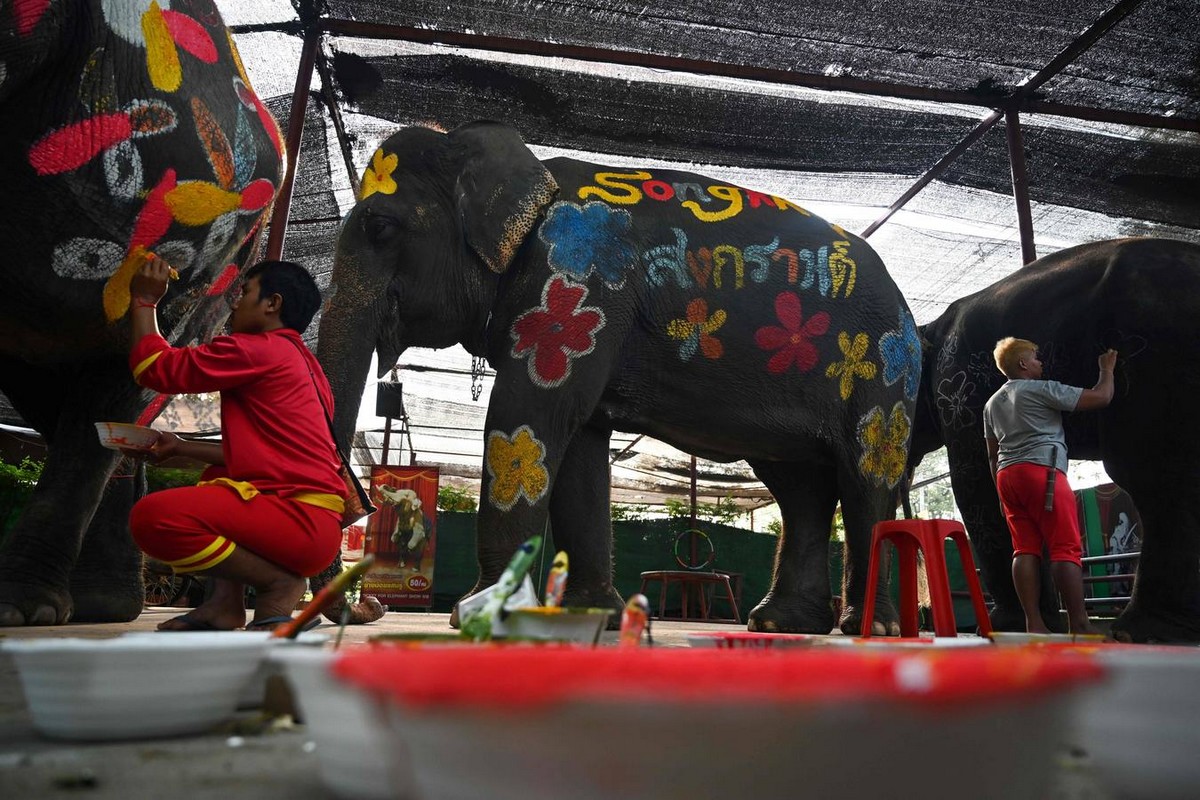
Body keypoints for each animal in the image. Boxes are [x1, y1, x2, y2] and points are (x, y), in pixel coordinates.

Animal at [319, 120, 916, 633]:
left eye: (379, 226)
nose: (370, 607)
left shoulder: (579, 286)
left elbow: (529, 414)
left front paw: (484, 612)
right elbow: (579, 440)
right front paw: (594, 613)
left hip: (887, 377)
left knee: (866, 479)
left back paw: (872, 627)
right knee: (801, 490)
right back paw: (781, 624)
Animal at [907, 236, 1200, 642]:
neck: (930, 329)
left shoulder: (958, 390)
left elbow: (976, 480)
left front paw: (1009, 624)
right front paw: (1042, 624)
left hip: (1159, 354)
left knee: (1153, 475)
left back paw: (1140, 632)